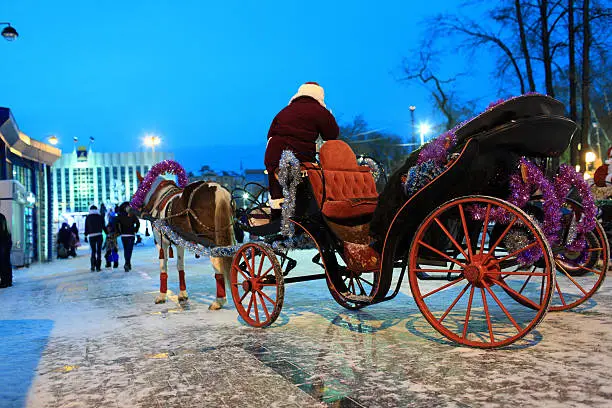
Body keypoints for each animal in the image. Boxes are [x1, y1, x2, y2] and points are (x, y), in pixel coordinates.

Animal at [130, 161, 235, 310]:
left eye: (140, 187)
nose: (132, 202)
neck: (159, 197)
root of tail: (218, 190)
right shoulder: (180, 242)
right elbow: (180, 267)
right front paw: (182, 294)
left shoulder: (160, 242)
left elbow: (163, 267)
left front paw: (161, 296)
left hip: (210, 239)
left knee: (217, 262)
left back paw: (218, 300)